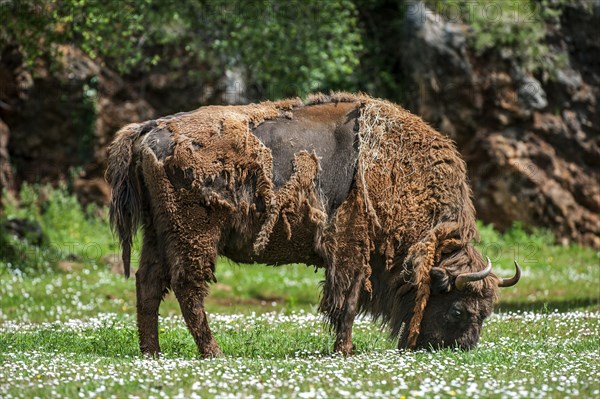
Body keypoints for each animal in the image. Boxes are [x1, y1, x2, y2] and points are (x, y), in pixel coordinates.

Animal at [108, 94, 520, 360]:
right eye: (458, 310)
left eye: (487, 312)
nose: (460, 349)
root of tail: (148, 130)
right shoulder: (352, 249)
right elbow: (348, 303)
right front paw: (344, 351)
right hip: (194, 236)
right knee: (187, 287)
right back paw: (214, 353)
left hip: (157, 235)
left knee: (148, 284)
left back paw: (152, 353)